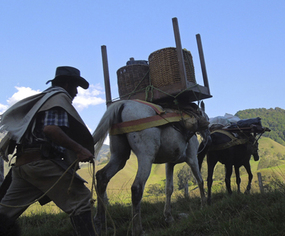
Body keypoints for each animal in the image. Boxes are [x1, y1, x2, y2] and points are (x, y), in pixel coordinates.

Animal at [92, 99, 210, 236]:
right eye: (207, 118)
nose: (209, 138)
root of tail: (124, 103)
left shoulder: (169, 163)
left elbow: (169, 188)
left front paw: (168, 216)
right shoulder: (192, 159)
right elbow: (200, 181)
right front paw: (204, 205)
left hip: (119, 156)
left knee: (102, 177)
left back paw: (98, 222)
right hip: (146, 157)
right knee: (136, 188)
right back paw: (137, 230)